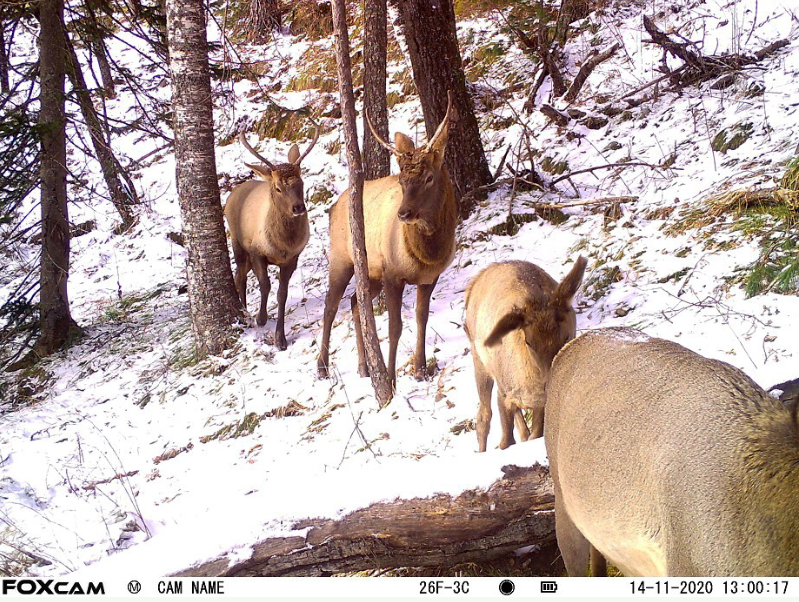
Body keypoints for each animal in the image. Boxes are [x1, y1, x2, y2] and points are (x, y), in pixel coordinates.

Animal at [225, 129, 318, 350]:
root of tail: (232, 194)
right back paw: (245, 310)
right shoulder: (256, 251)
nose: (298, 207)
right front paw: (261, 318)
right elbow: (265, 285)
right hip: (237, 243)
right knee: (240, 276)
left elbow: (282, 293)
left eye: (301, 182)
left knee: (239, 274)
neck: (283, 244)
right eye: (277, 188)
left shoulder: (292, 258)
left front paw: (280, 339)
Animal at [318, 91, 460, 386]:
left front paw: (420, 369)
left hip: (370, 273)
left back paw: (364, 367)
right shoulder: (392, 273)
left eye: (429, 178)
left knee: (355, 303)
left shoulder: (429, 277)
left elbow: (421, 318)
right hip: (341, 259)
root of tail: (333, 206)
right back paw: (322, 367)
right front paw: (392, 380)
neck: (427, 254)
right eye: (402, 181)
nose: (403, 213)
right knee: (331, 305)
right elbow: (395, 327)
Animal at [462, 256, 588, 450]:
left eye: (567, 335)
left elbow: (534, 434)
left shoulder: (540, 404)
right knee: (483, 416)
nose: (550, 383)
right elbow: (506, 441)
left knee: (521, 427)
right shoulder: (504, 392)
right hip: (480, 361)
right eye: (529, 342)